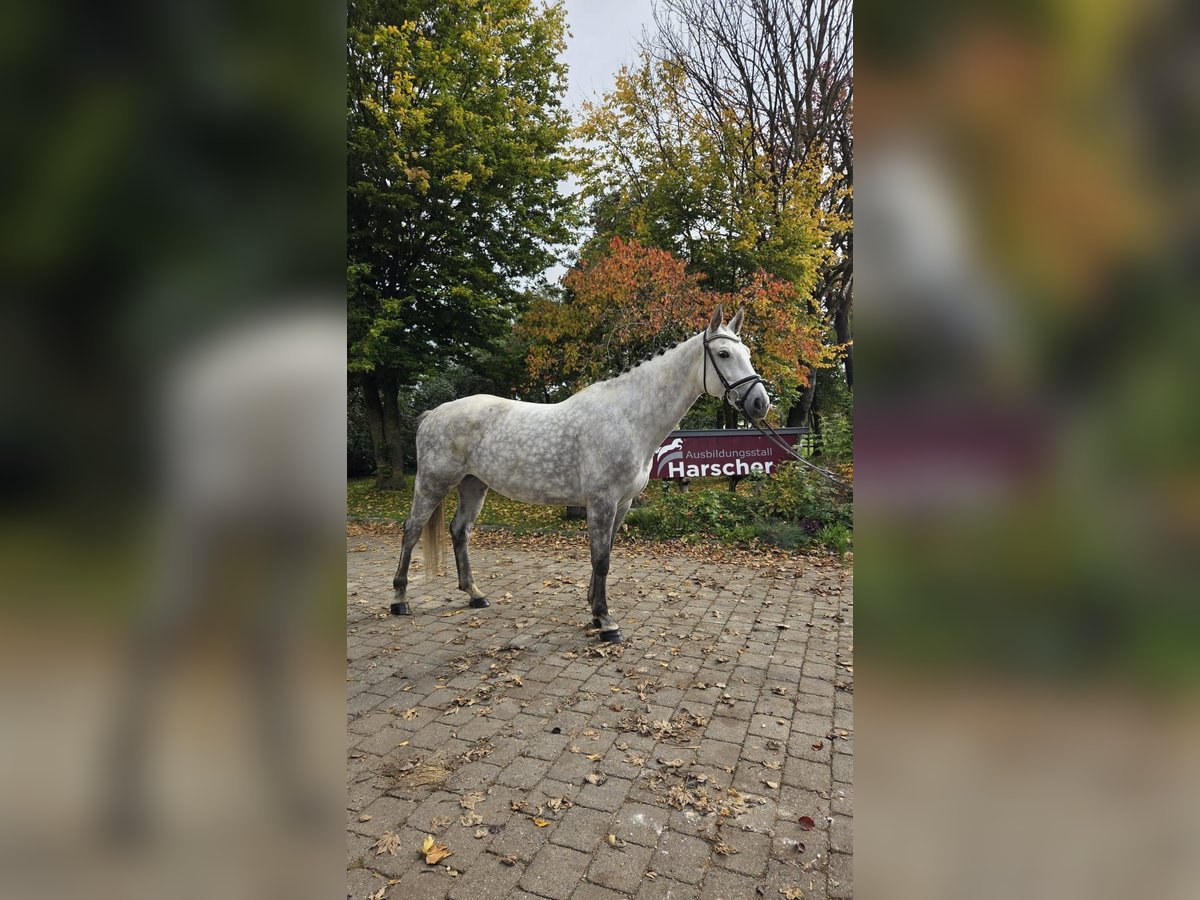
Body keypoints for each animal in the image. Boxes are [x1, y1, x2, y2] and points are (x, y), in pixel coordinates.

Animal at [390, 304, 772, 643]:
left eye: (748, 352)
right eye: (723, 353)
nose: (760, 403)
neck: (628, 417)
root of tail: (433, 414)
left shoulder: (622, 504)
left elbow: (605, 556)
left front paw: (594, 613)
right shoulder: (601, 502)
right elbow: (600, 560)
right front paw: (607, 623)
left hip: (474, 485)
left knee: (460, 532)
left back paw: (474, 594)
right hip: (433, 484)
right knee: (411, 531)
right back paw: (399, 600)